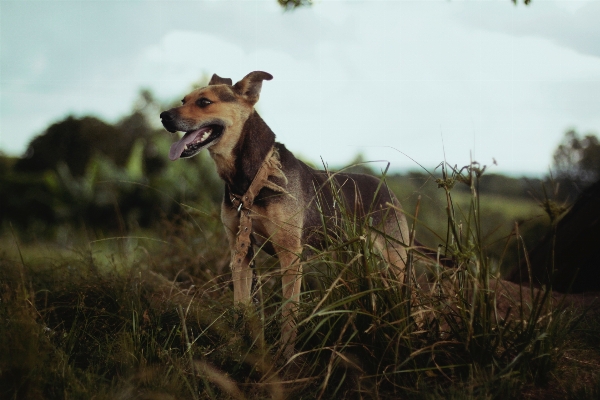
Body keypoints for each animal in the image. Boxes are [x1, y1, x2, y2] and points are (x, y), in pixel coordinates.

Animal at [159, 72, 412, 356]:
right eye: (184, 100)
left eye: (204, 102)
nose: (163, 116)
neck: (253, 178)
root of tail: (387, 190)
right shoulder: (240, 251)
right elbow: (241, 305)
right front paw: (240, 346)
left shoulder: (290, 255)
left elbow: (288, 313)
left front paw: (286, 355)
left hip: (395, 260)